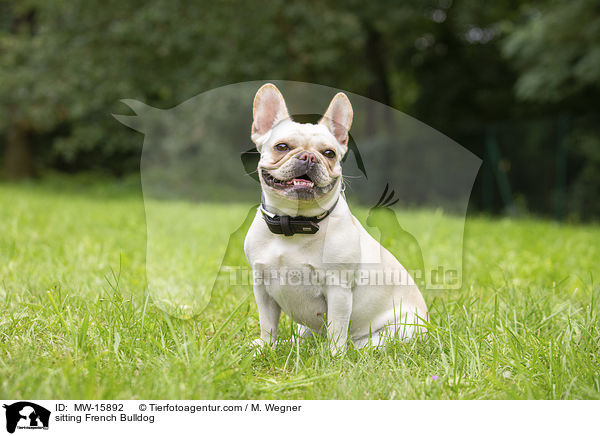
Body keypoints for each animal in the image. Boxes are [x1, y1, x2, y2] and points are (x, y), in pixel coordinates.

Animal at [244, 84, 426, 354]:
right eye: (282, 147)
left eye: (329, 153)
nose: (309, 157)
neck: (294, 223)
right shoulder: (262, 287)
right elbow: (268, 325)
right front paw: (266, 348)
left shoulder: (338, 289)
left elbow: (337, 327)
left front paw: (333, 356)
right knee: (304, 337)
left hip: (398, 331)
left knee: (366, 343)